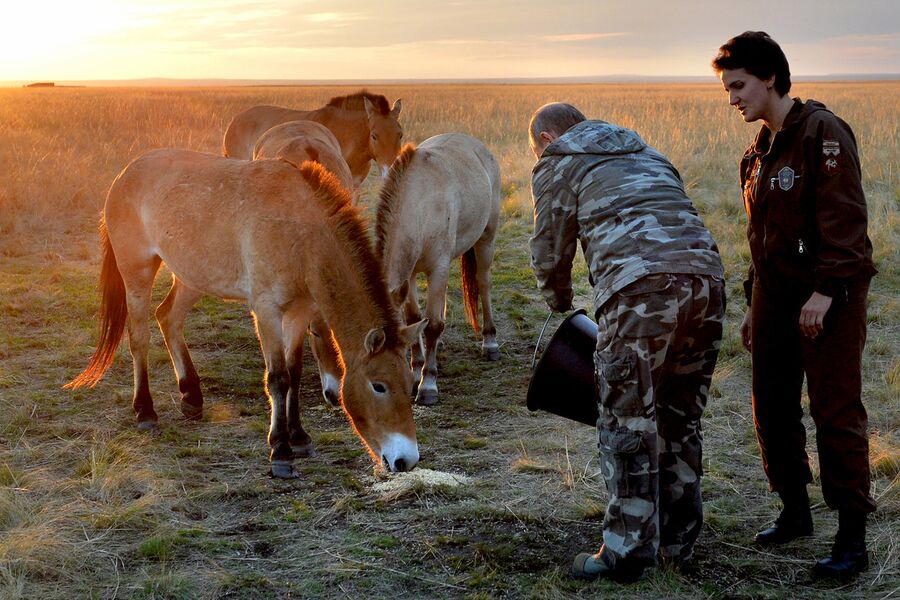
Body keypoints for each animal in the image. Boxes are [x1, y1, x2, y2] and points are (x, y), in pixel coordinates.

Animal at [67, 151, 426, 478]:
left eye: (411, 384)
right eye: (378, 385)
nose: (405, 460)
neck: (300, 232)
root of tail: (125, 174)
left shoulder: (299, 312)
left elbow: (294, 372)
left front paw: (298, 436)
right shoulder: (266, 310)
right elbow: (278, 378)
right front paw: (280, 450)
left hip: (193, 276)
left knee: (168, 317)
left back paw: (191, 395)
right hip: (137, 272)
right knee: (139, 336)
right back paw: (145, 411)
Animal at [370, 134, 500, 406]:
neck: (420, 204)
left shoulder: (437, 268)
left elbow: (432, 325)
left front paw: (427, 384)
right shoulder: (408, 276)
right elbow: (414, 319)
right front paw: (417, 369)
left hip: (486, 239)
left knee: (483, 283)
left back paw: (490, 342)